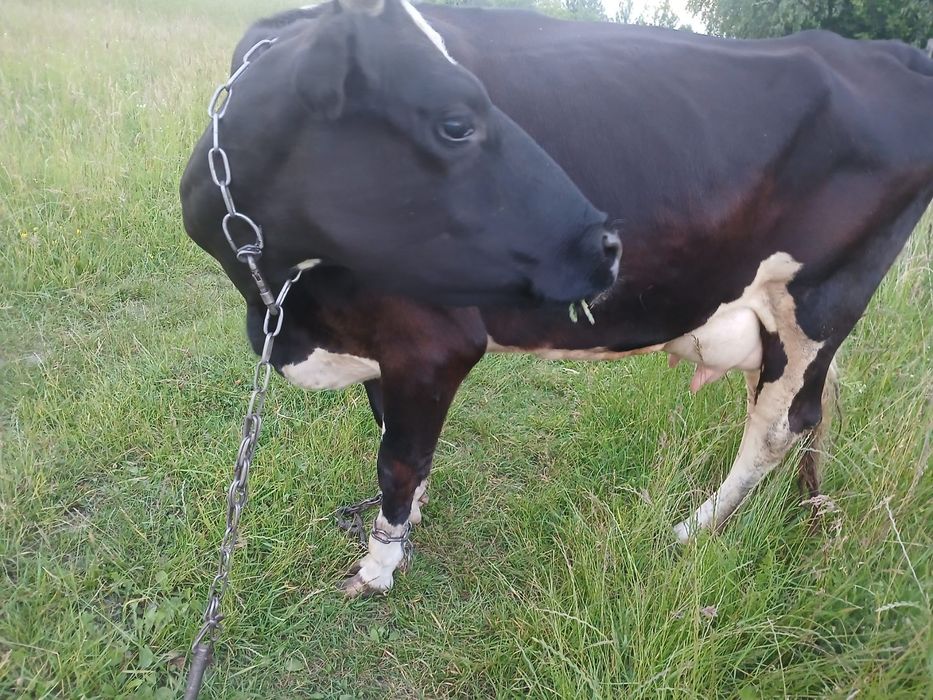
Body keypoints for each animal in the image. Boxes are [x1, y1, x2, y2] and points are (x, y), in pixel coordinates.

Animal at [182, 0, 933, 597]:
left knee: (780, 425)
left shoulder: (432, 341)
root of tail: (882, 53)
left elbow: (398, 458)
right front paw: (408, 524)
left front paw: (378, 566)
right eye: (456, 123)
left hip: (819, 300)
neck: (283, 303)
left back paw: (691, 529)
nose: (606, 242)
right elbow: (394, 431)